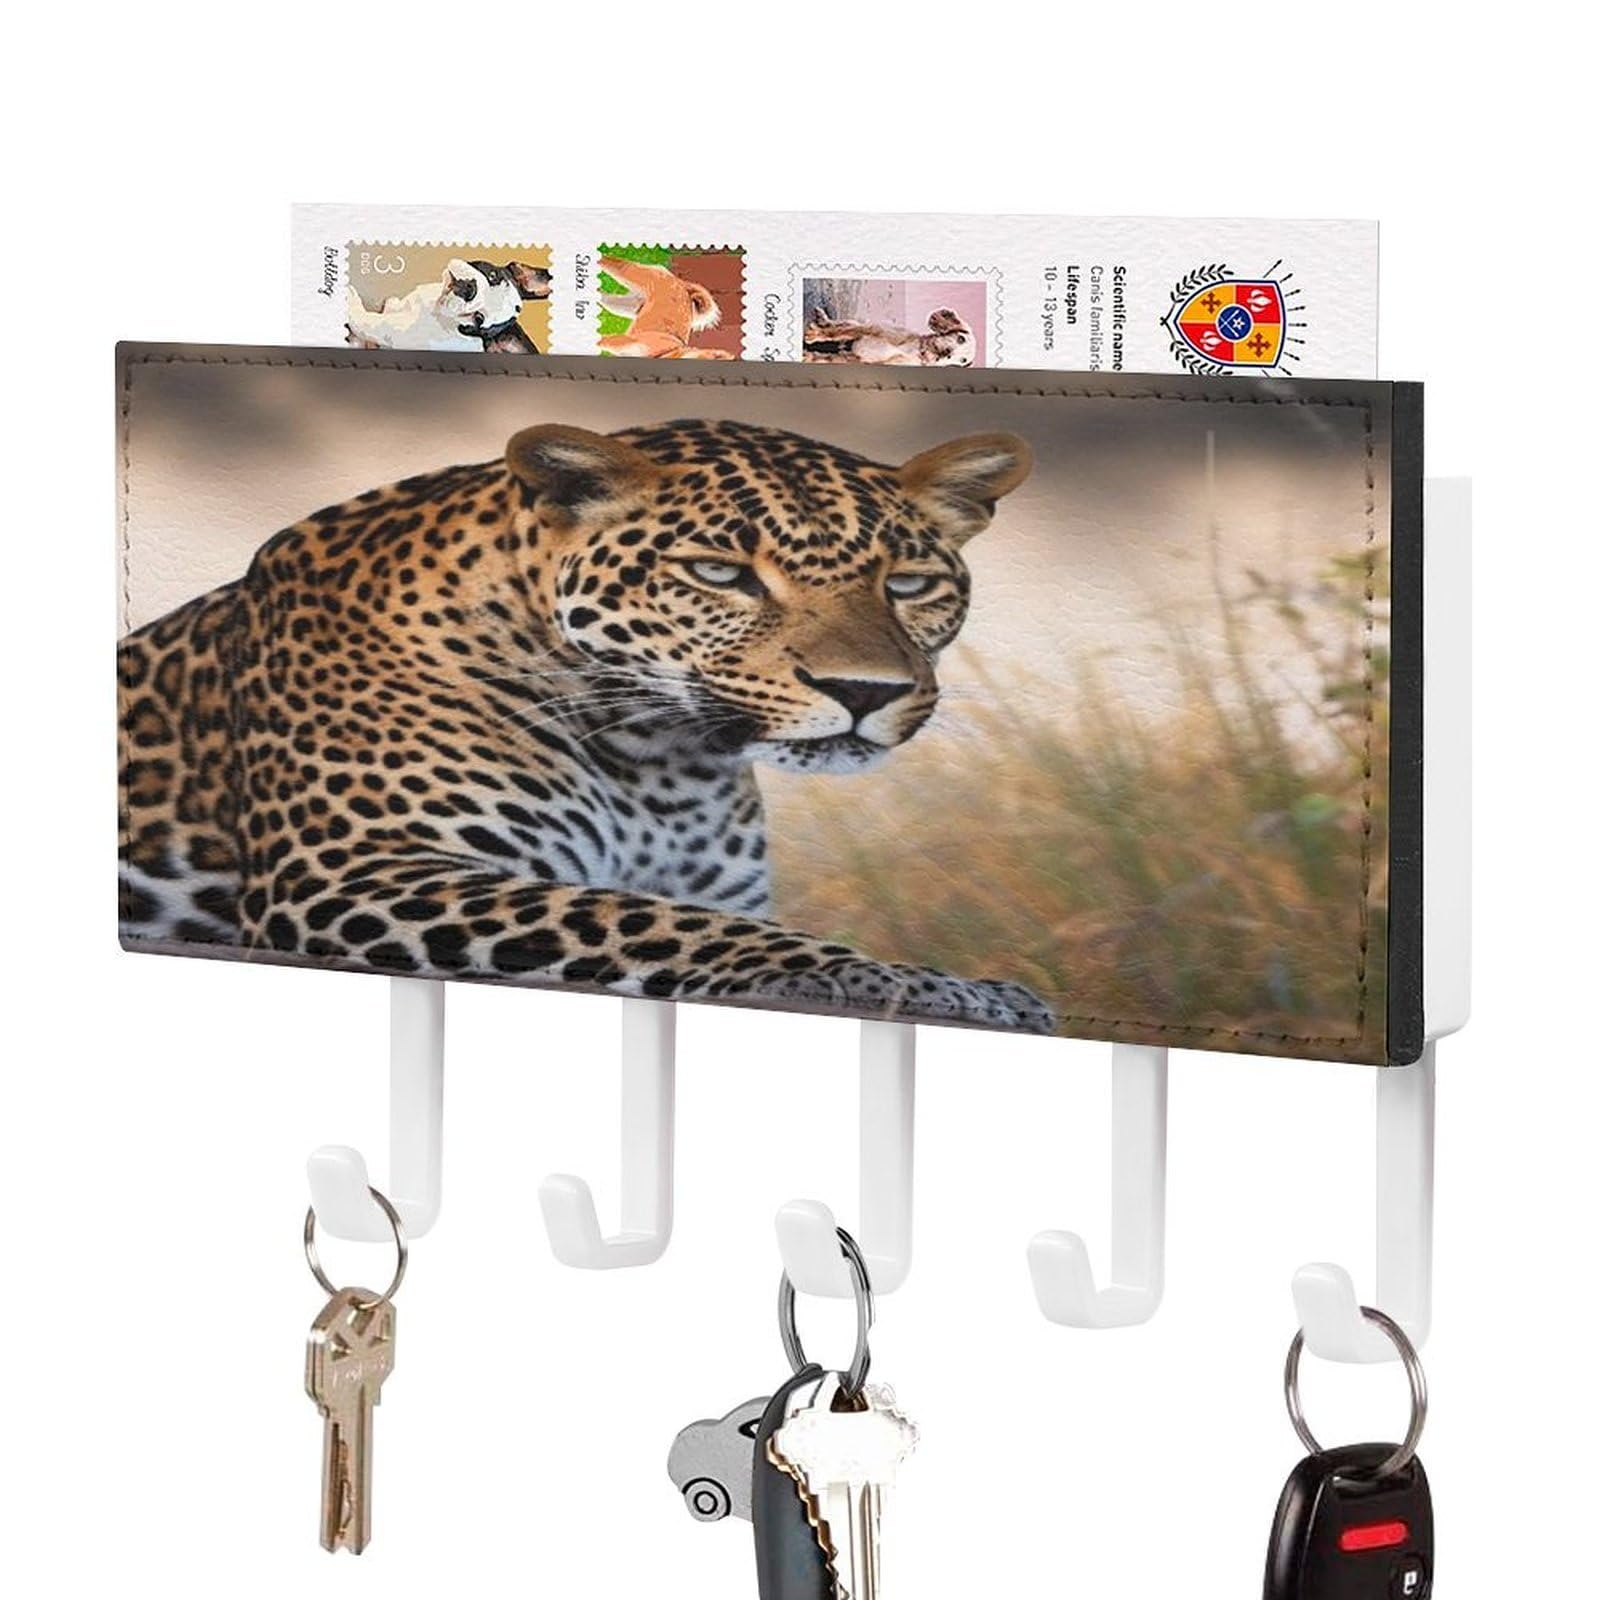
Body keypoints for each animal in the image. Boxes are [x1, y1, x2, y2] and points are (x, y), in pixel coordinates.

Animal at [117, 417, 1055, 1033]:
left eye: (908, 584)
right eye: (721, 573)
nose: (862, 690)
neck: (663, 761)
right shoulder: (354, 872)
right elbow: (647, 920)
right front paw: (925, 986)